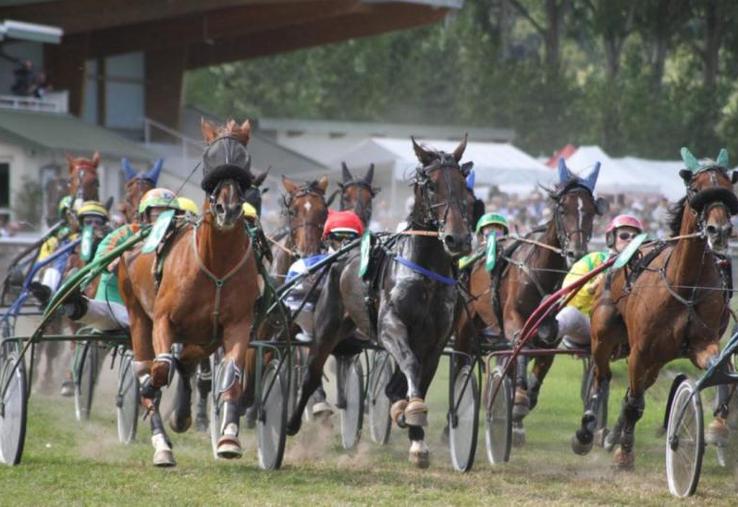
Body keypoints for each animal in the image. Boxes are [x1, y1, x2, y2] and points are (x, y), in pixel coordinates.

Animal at [119, 118, 260, 466]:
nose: (227, 209)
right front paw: (151, 395)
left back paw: (181, 416)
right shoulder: (163, 320)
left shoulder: (238, 324)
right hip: (138, 316)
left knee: (187, 363)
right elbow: (160, 368)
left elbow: (232, 374)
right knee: (151, 365)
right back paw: (162, 442)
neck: (215, 264)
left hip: (202, 337)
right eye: (210, 158)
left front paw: (229, 437)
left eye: (243, 159)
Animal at [286, 136, 473, 468]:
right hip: (326, 327)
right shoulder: (390, 327)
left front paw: (414, 432)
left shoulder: (436, 340)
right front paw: (413, 416)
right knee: (310, 374)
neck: (423, 274)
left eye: (463, 184)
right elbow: (410, 363)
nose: (458, 239)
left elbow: (419, 377)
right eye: (432, 185)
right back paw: (293, 423)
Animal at [456, 159, 605, 443]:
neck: (541, 270)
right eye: (562, 208)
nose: (576, 252)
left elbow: (541, 361)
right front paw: (517, 401)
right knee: (460, 358)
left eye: (591, 211)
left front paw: (522, 406)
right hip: (466, 321)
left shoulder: (552, 331)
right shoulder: (513, 318)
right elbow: (519, 347)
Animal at [571, 148, 738, 469]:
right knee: (601, 376)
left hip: (659, 357)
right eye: (696, 190)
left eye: (728, 190)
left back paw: (612, 435)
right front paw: (624, 453)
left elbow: (718, 367)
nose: (719, 231)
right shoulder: (640, 350)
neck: (683, 286)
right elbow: (634, 404)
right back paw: (587, 432)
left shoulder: (701, 344)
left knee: (633, 387)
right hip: (604, 335)